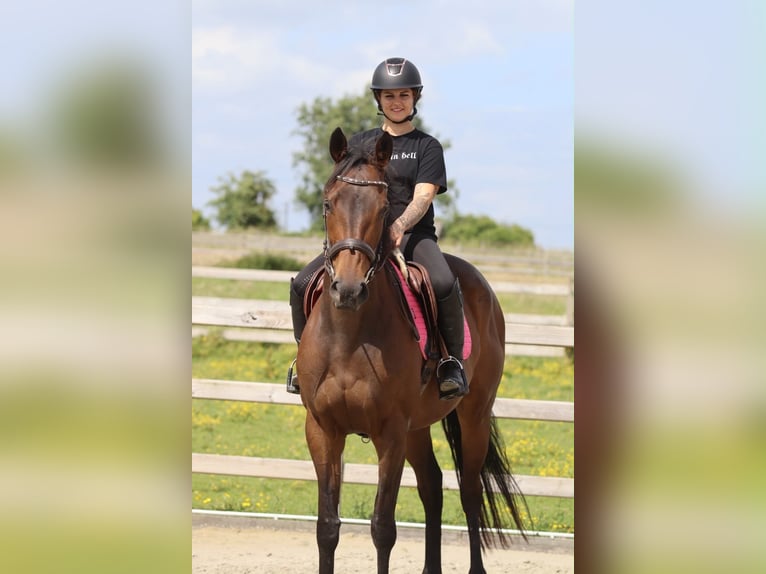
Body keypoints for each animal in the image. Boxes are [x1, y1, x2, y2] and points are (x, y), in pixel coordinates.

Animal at [296, 127, 527, 574]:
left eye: (384, 208)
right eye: (328, 203)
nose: (348, 290)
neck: (349, 334)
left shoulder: (390, 434)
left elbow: (383, 527)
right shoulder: (323, 429)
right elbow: (327, 526)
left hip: (472, 415)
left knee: (469, 491)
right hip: (418, 426)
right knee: (432, 486)